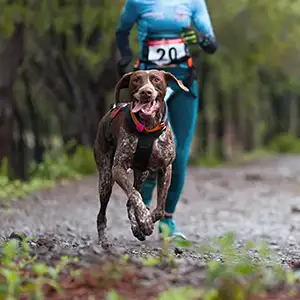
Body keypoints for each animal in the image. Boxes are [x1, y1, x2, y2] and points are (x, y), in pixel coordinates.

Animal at [92, 69, 189, 247]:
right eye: (136, 80)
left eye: (156, 80)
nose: (146, 92)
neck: (148, 129)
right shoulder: (118, 169)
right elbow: (136, 196)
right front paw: (144, 220)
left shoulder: (166, 168)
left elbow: (160, 208)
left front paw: (145, 221)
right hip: (106, 178)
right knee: (104, 211)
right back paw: (104, 238)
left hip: (142, 174)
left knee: (130, 199)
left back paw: (136, 227)